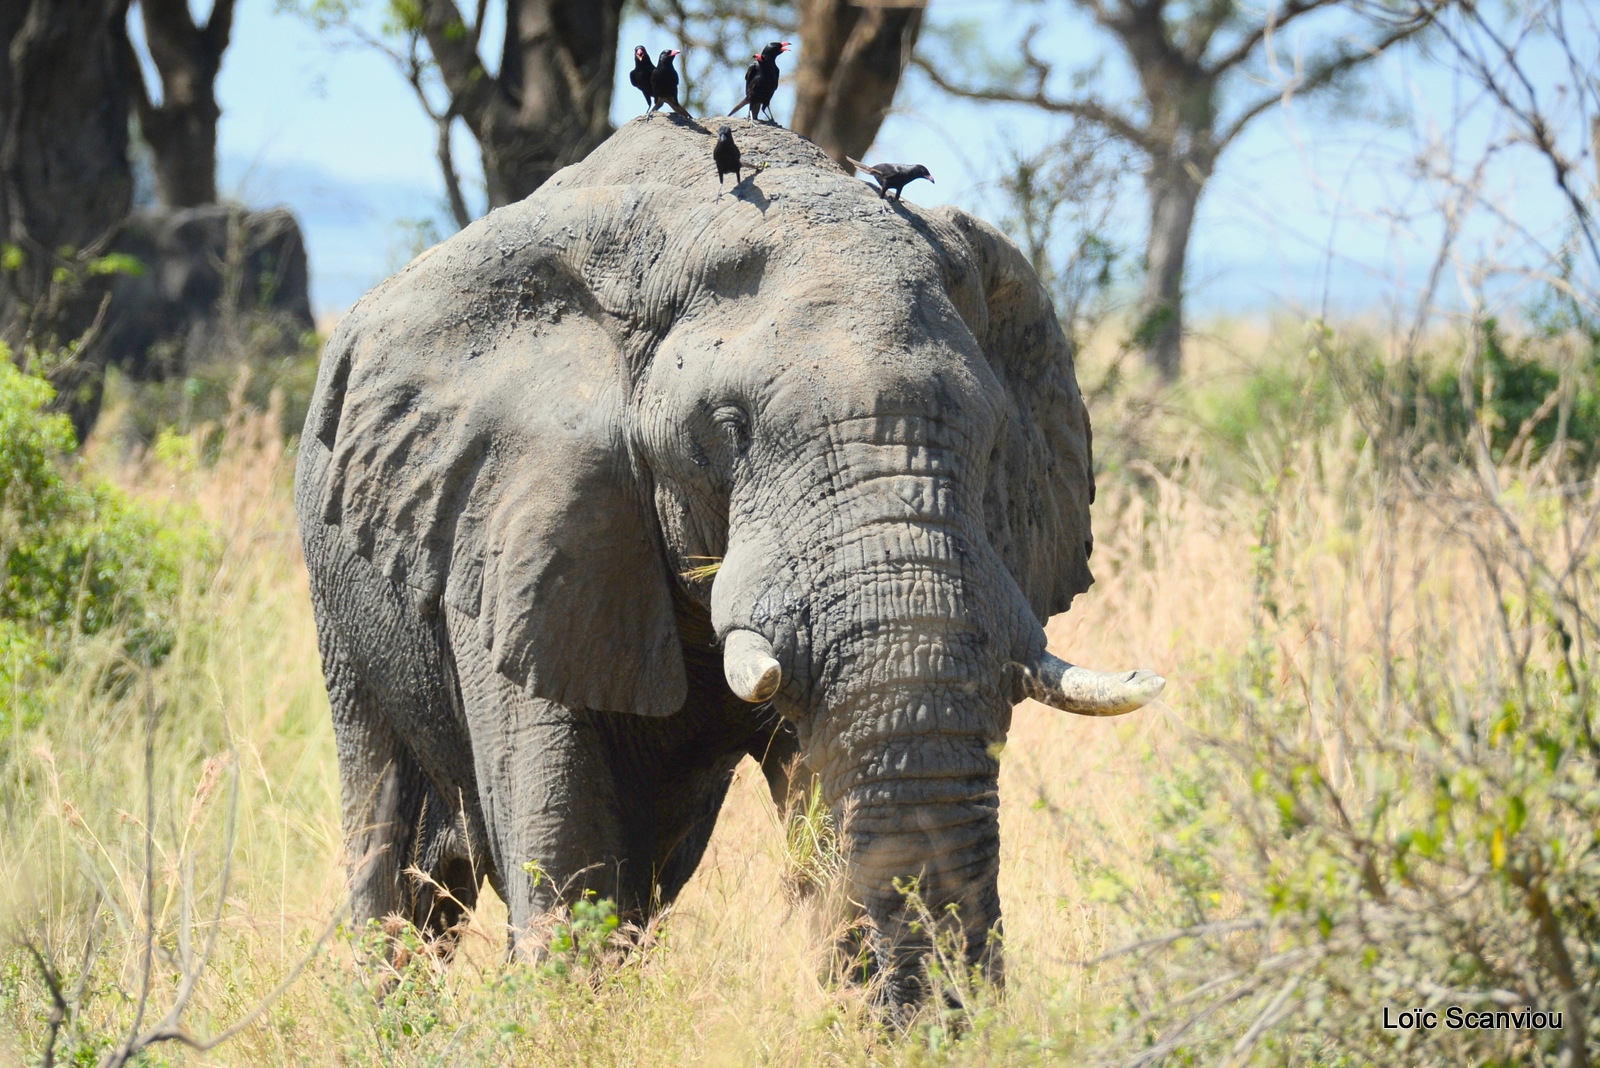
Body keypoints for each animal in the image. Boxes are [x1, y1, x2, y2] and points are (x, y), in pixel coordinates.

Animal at [294, 116, 1164, 1010]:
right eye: (727, 428)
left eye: (992, 440)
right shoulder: (517, 525)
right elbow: (564, 833)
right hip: (343, 605)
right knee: (393, 853)